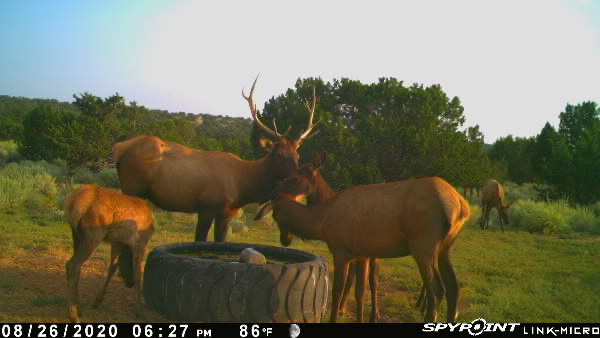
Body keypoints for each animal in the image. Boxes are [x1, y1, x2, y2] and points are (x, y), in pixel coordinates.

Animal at [63, 184, 155, 324]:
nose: (129, 284)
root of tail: (72, 202)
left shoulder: (117, 243)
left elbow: (112, 268)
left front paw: (97, 301)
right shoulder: (140, 242)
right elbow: (138, 274)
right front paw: (139, 312)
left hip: (76, 235)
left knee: (76, 267)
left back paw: (79, 309)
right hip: (93, 235)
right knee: (72, 264)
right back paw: (73, 315)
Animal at [112, 76, 318, 242]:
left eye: (297, 155)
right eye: (279, 155)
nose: (301, 184)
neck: (243, 185)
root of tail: (119, 148)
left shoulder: (227, 212)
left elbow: (221, 240)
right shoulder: (207, 206)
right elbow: (199, 240)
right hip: (133, 187)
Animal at [255, 153, 472, 322]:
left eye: (292, 178)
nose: (284, 240)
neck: (322, 221)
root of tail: (460, 205)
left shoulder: (341, 251)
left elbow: (337, 291)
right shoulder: (362, 254)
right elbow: (360, 291)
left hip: (423, 244)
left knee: (436, 289)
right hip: (446, 246)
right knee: (453, 288)